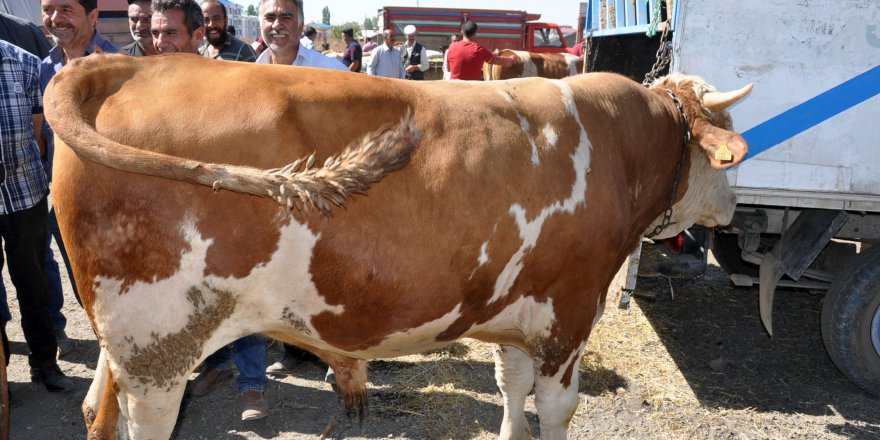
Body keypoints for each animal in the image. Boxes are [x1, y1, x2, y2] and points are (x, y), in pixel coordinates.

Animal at [44, 53, 748, 438]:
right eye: (725, 134)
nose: (734, 204)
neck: (617, 146)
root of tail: (135, 62)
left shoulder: (520, 311)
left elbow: (510, 385)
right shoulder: (569, 311)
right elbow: (555, 408)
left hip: (125, 344)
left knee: (95, 409)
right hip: (159, 347)